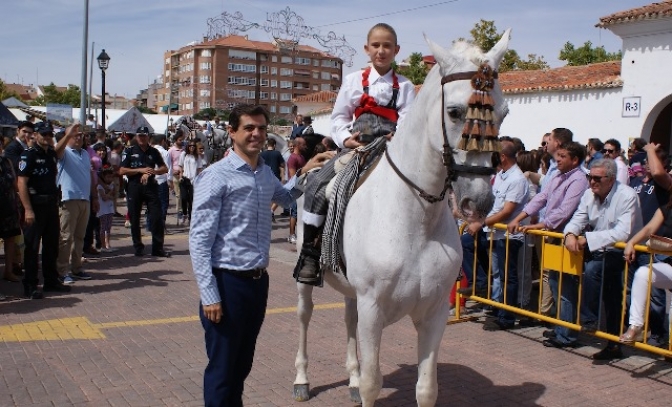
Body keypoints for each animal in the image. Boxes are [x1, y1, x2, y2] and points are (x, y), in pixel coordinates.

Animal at [292, 30, 510, 406]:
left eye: (504, 112)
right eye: (455, 112)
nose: (479, 201)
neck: (416, 220)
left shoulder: (434, 313)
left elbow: (426, 388)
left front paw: (360, 382)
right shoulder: (373, 308)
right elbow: (372, 383)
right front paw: (358, 384)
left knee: (348, 319)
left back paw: (349, 379)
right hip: (308, 282)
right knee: (305, 317)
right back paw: (302, 380)